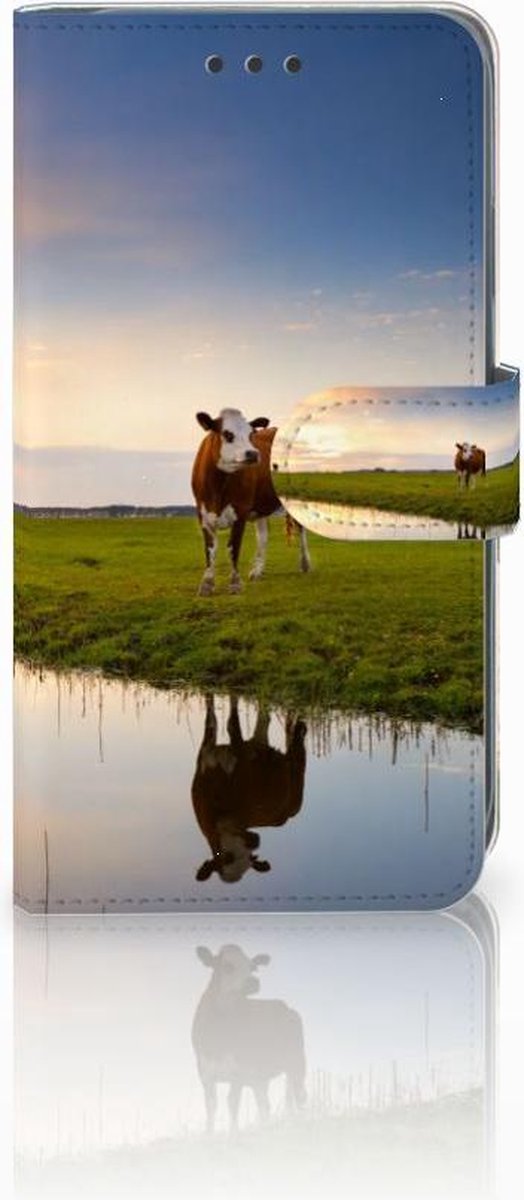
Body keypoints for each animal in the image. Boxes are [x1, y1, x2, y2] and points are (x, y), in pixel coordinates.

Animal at [191, 408, 310, 595]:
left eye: (251, 434)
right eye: (227, 434)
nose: (253, 454)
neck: (218, 487)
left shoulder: (240, 511)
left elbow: (233, 547)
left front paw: (235, 584)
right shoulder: (203, 514)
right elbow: (210, 549)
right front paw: (206, 584)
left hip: (294, 497)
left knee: (301, 528)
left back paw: (305, 564)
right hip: (261, 505)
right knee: (263, 535)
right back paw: (257, 571)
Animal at [191, 695, 307, 884]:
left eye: (249, 856)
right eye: (225, 857)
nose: (255, 841)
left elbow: (232, 724)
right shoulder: (205, 754)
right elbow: (211, 720)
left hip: (297, 777)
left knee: (295, 747)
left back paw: (299, 728)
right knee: (264, 722)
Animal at [192, 944, 307, 1132]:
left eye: (253, 967)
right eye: (227, 965)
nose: (253, 982)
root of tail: (285, 1006)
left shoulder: (238, 1071)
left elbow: (232, 1102)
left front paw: (233, 1133)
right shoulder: (205, 1072)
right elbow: (210, 1106)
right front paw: (209, 1134)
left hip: (297, 1062)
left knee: (299, 1096)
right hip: (259, 1077)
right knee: (266, 1105)